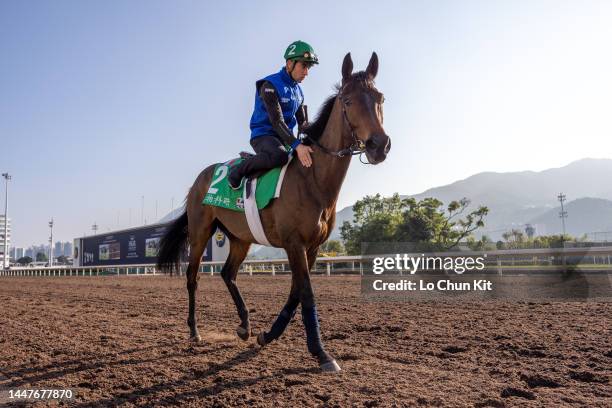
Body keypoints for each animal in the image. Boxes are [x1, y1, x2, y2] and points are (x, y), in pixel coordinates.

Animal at [155, 51, 390, 372]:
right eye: (348, 101)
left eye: (380, 98)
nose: (379, 145)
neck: (312, 178)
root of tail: (199, 180)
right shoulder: (294, 243)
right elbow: (306, 293)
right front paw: (321, 353)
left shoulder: (312, 247)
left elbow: (295, 292)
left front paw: (267, 335)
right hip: (200, 232)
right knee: (193, 277)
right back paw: (194, 330)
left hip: (240, 238)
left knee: (227, 274)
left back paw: (244, 325)